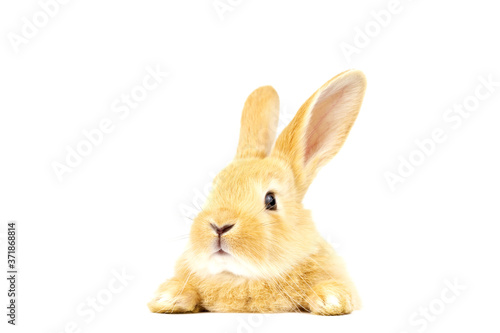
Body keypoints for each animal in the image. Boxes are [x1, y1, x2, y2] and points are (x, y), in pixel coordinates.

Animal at [148, 69, 368, 314]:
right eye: (214, 188)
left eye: (271, 200)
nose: (220, 226)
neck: (240, 278)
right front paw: (168, 297)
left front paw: (332, 299)